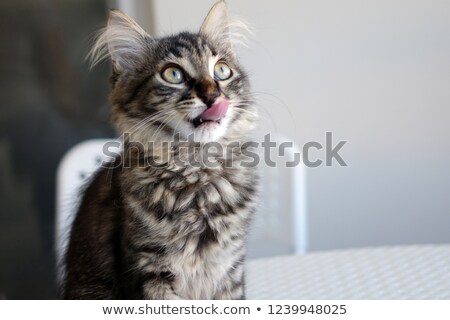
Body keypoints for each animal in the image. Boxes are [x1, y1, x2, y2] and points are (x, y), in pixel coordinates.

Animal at [63, 0, 260, 300]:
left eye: (222, 71)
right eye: (173, 74)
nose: (213, 96)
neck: (196, 170)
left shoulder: (229, 269)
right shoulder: (151, 272)